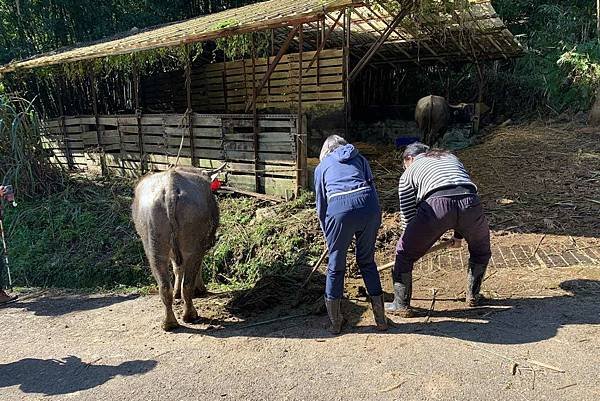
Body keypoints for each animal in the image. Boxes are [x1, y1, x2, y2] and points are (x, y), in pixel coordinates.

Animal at [132, 166, 221, 332]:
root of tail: (170, 189)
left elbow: (177, 268)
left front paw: (176, 292)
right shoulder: (203, 244)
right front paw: (200, 289)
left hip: (154, 243)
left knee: (164, 285)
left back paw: (169, 322)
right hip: (192, 245)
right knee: (188, 282)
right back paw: (190, 314)